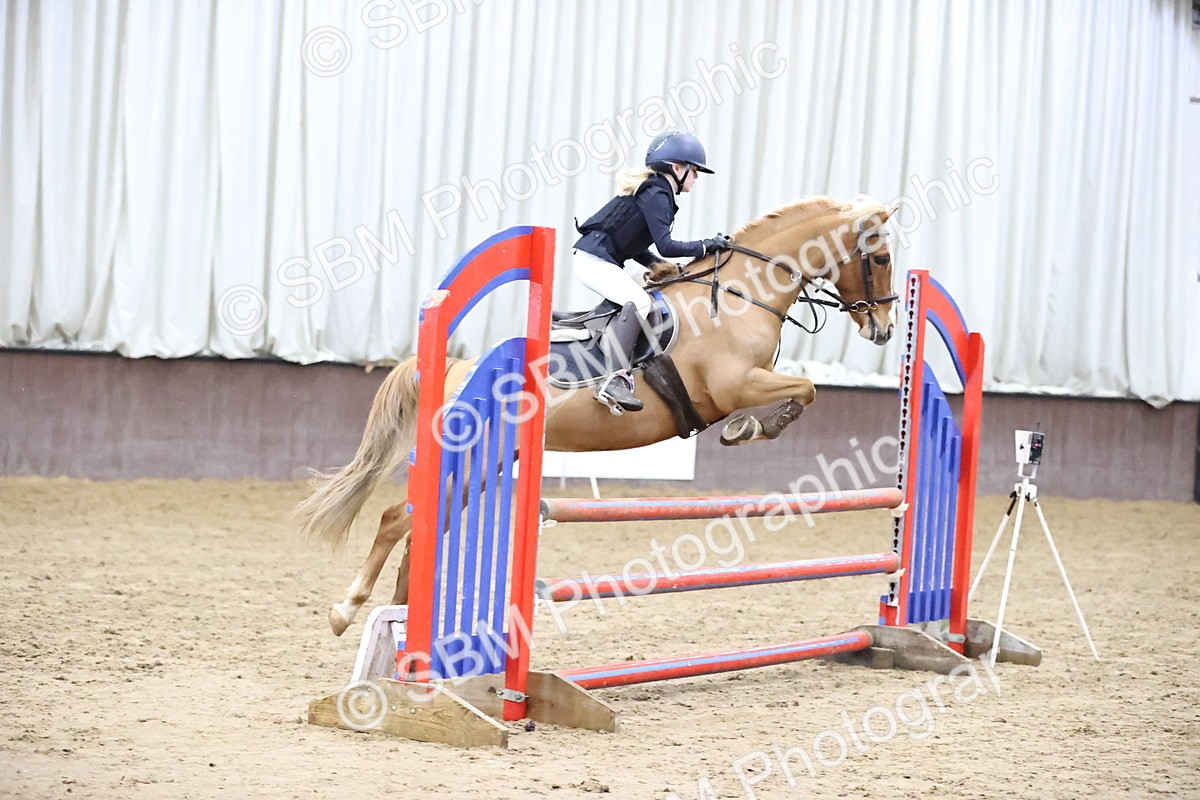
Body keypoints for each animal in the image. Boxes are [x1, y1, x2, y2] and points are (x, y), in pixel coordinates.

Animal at [295, 195, 897, 636]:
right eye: (882, 258)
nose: (885, 330)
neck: (743, 290)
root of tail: (455, 365)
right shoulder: (734, 384)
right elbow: (807, 388)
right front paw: (754, 426)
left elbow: (806, 388)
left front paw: (754, 427)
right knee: (397, 520)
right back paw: (348, 611)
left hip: (486, 464)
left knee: (421, 527)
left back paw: (398, 626)